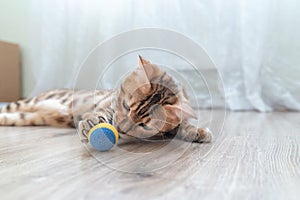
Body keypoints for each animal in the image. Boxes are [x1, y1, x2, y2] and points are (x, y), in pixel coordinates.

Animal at [0, 56, 212, 143]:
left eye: (144, 125)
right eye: (126, 107)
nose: (120, 129)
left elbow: (183, 124)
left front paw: (198, 131)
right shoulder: (108, 105)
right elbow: (101, 113)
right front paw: (91, 123)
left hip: (26, 117)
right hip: (26, 104)